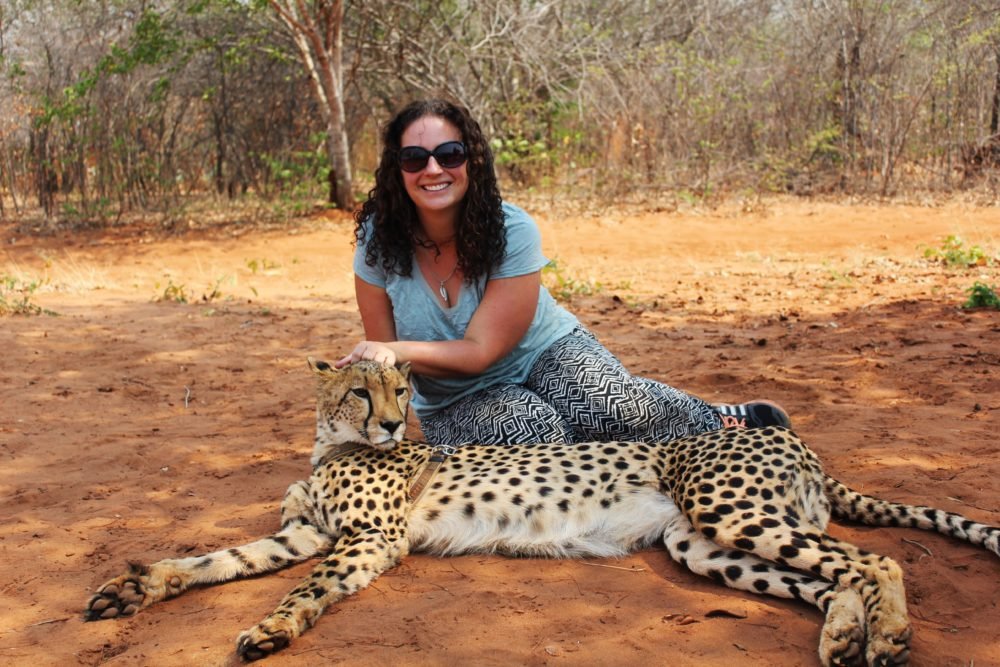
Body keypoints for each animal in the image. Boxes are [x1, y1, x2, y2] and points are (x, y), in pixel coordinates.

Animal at [88, 362, 1000, 664]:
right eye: (359, 390)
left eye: (398, 391)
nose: (390, 424)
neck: (331, 443)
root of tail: (797, 439)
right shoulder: (304, 531)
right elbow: (213, 560)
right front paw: (133, 588)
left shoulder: (369, 538)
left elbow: (302, 589)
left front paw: (273, 628)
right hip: (700, 542)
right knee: (831, 578)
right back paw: (843, 636)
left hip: (725, 507)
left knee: (879, 559)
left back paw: (888, 636)